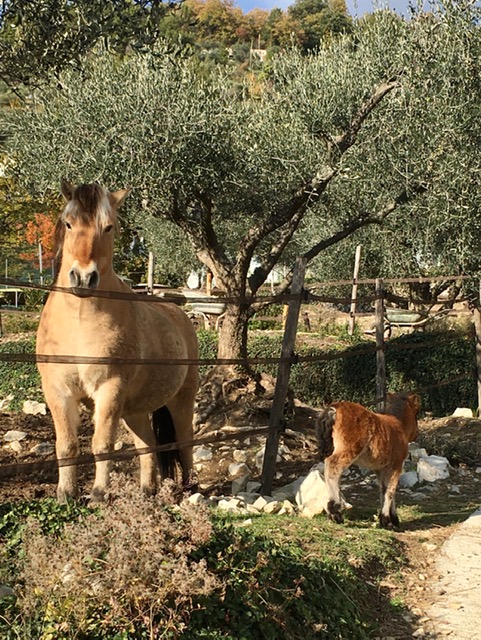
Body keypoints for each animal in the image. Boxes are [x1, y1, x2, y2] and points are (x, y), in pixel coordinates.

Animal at [36, 180, 199, 502]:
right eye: (68, 223)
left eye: (108, 227)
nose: (83, 278)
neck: (78, 322)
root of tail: (181, 316)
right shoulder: (58, 391)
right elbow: (67, 445)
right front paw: (66, 494)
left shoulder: (109, 389)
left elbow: (102, 445)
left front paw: (99, 493)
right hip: (133, 411)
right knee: (147, 443)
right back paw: (148, 490)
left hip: (180, 401)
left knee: (185, 441)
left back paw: (188, 489)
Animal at [316, 392, 420, 529]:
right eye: (416, 414)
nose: (417, 434)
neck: (399, 425)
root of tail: (333, 408)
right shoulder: (396, 465)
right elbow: (391, 491)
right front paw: (387, 520)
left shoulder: (380, 469)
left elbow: (383, 489)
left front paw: (390, 518)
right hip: (348, 450)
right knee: (332, 467)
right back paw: (335, 511)